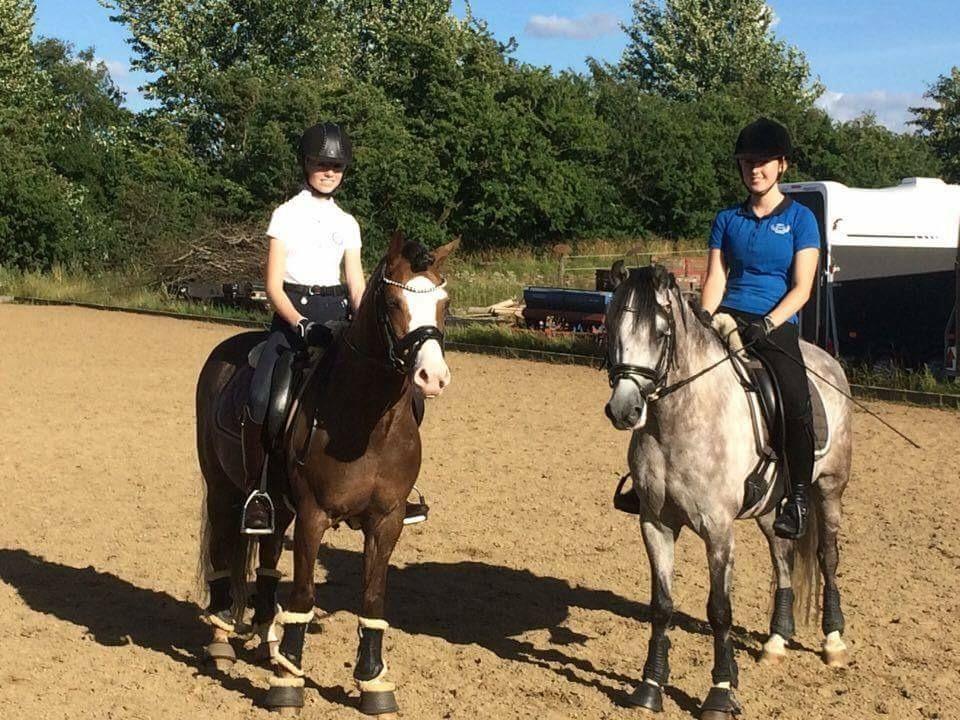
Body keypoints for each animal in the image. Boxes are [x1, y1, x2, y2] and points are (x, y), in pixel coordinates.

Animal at [194, 233, 458, 717]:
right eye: (393, 302)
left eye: (443, 303)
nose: (433, 376)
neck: (366, 424)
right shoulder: (314, 515)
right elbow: (303, 594)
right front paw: (288, 682)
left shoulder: (387, 520)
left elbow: (373, 598)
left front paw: (373, 682)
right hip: (221, 488)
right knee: (223, 550)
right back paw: (222, 638)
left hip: (275, 503)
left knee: (268, 557)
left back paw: (267, 638)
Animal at [602, 263, 852, 719]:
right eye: (612, 328)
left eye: (661, 333)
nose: (624, 410)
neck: (677, 420)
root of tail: (826, 359)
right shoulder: (655, 523)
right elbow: (661, 605)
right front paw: (649, 687)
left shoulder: (717, 529)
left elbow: (719, 610)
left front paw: (720, 691)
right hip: (773, 509)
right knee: (782, 556)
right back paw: (776, 641)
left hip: (829, 488)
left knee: (827, 555)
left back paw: (834, 642)